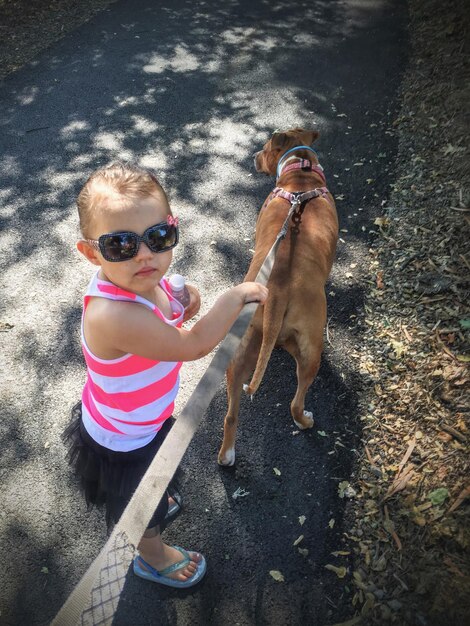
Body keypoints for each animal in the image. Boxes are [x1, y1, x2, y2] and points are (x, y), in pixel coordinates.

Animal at [217, 128, 338, 464]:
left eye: (263, 147)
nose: (253, 156)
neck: (301, 177)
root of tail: (276, 294)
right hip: (311, 350)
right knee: (296, 402)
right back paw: (305, 420)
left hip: (239, 348)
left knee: (231, 414)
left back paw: (227, 455)